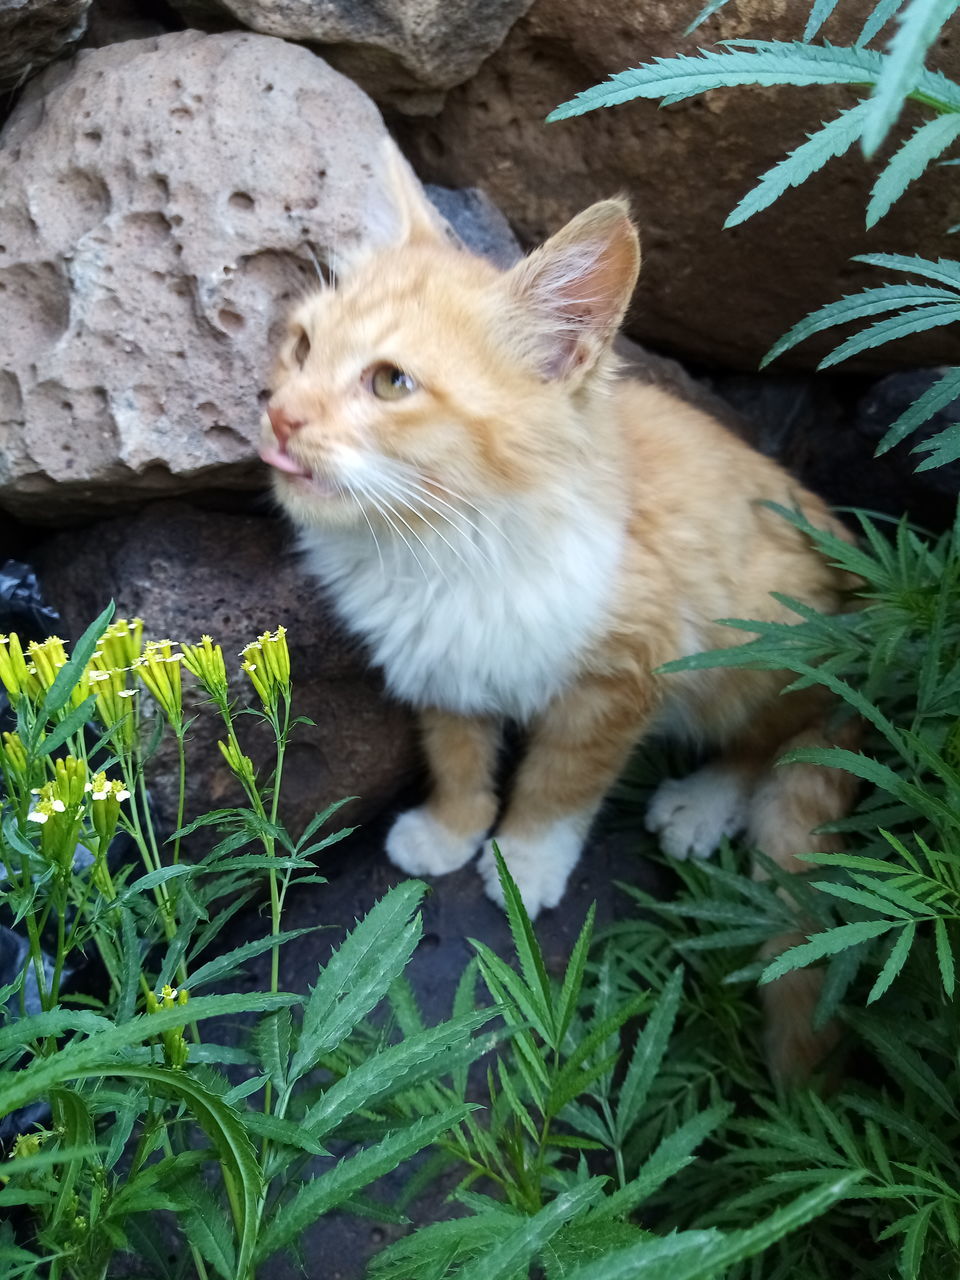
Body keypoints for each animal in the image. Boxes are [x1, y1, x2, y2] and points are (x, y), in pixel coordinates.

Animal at [261, 142, 855, 1080]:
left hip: (760, 629)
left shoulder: (627, 669)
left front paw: (525, 859)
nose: (280, 414)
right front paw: (453, 825)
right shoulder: (439, 656)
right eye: (303, 343)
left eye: (391, 383)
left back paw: (707, 799)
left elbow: (562, 775)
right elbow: (456, 746)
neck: (442, 543)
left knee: (781, 729)